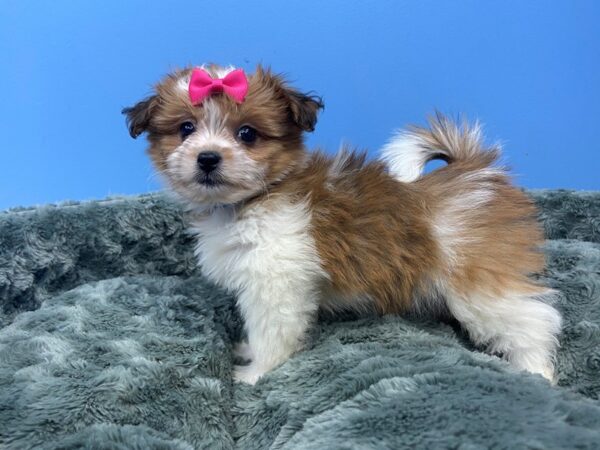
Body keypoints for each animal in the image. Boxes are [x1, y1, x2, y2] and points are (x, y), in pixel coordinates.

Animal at [123, 65, 564, 384]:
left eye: (247, 133)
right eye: (185, 129)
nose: (208, 158)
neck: (254, 200)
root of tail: (475, 170)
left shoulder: (276, 284)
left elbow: (272, 331)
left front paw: (255, 373)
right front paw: (250, 355)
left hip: (478, 281)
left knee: (533, 319)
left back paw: (536, 371)